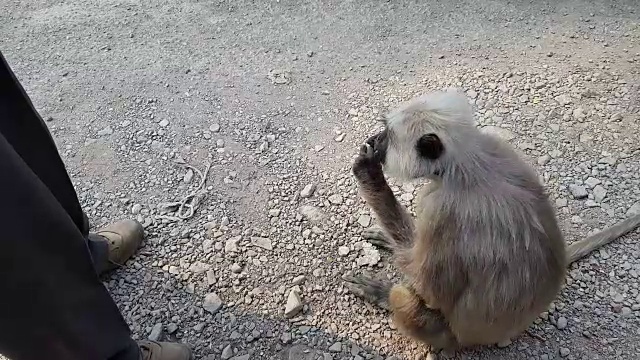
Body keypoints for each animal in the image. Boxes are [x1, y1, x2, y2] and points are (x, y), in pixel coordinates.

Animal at [344, 88, 640, 352]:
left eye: (387, 134)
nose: (375, 139)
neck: (463, 164)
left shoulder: (439, 208)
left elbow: (431, 292)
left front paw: (370, 174)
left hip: (445, 333)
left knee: (404, 297)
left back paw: (387, 295)